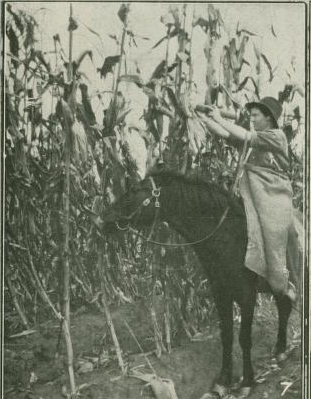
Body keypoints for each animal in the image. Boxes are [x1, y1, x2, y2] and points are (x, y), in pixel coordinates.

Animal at [100, 170, 292, 398]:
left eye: (134, 190)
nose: (102, 220)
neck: (227, 237)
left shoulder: (247, 295)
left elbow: (244, 338)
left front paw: (247, 381)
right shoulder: (220, 292)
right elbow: (227, 335)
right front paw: (223, 381)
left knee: (285, 305)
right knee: (285, 304)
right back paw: (280, 350)